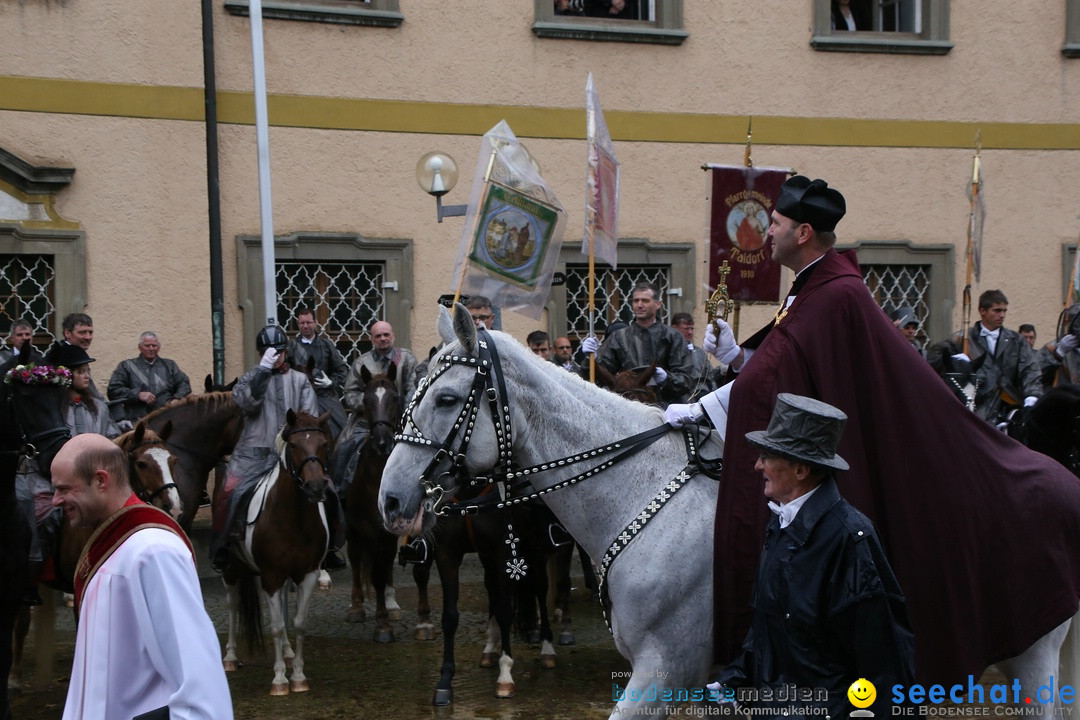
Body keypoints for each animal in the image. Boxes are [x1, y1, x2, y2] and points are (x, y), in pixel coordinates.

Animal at [221, 410, 330, 699]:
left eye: (323, 444)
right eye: (293, 446)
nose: (316, 486)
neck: (294, 518)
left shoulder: (306, 573)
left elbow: (299, 623)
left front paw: (299, 677)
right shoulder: (271, 574)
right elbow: (277, 626)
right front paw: (280, 680)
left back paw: (289, 652)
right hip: (232, 569)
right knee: (234, 605)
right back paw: (230, 657)